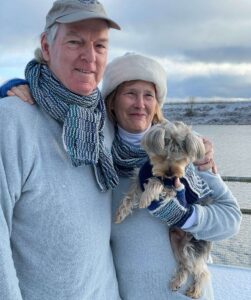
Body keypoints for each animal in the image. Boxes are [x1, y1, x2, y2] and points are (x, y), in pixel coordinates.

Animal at [115, 120, 212, 298]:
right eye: (162, 155)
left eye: (181, 159)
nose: (170, 172)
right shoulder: (139, 178)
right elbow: (130, 195)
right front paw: (120, 213)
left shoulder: (175, 188)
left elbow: (156, 183)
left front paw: (146, 198)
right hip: (176, 241)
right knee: (186, 265)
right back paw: (177, 282)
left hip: (192, 244)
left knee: (201, 271)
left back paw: (194, 290)